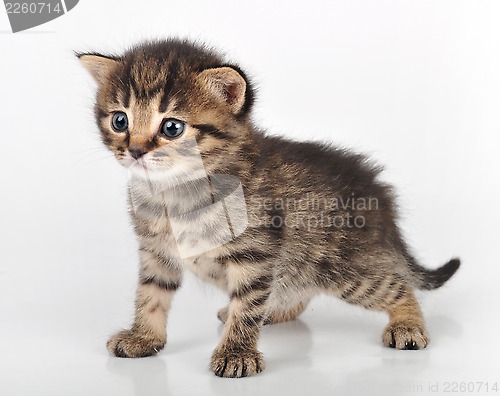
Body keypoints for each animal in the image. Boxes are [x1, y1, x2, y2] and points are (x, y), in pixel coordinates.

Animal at [79, 39, 460, 378]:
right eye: (120, 121)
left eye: (172, 127)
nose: (135, 151)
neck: (173, 191)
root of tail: (380, 197)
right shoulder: (157, 252)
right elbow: (151, 295)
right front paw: (144, 338)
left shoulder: (256, 253)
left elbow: (247, 305)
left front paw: (236, 354)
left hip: (346, 269)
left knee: (398, 285)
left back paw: (408, 325)